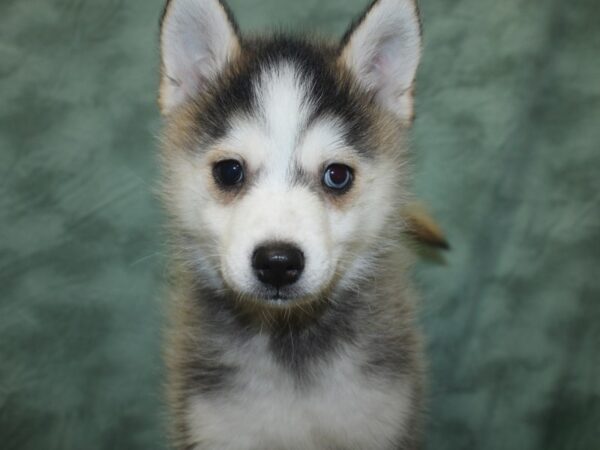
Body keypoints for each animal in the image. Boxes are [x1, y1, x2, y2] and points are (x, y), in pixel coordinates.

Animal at [157, 0, 424, 448]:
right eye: (229, 171)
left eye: (337, 175)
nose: (278, 262)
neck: (289, 337)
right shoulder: (219, 426)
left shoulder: (376, 420)